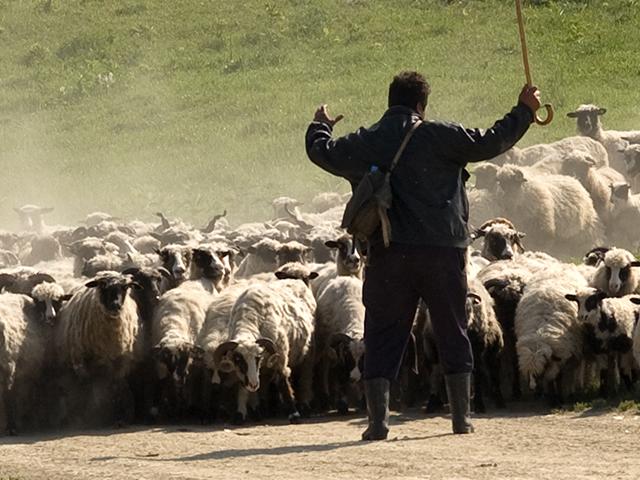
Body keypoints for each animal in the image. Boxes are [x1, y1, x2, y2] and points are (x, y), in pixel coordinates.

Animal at [214, 262, 316, 424]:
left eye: (258, 358)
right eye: (238, 359)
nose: (254, 385)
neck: (250, 318)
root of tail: (296, 281)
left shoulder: (280, 355)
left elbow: (282, 380)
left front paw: (294, 414)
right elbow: (243, 385)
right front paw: (240, 413)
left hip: (308, 351)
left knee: (305, 376)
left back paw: (303, 405)